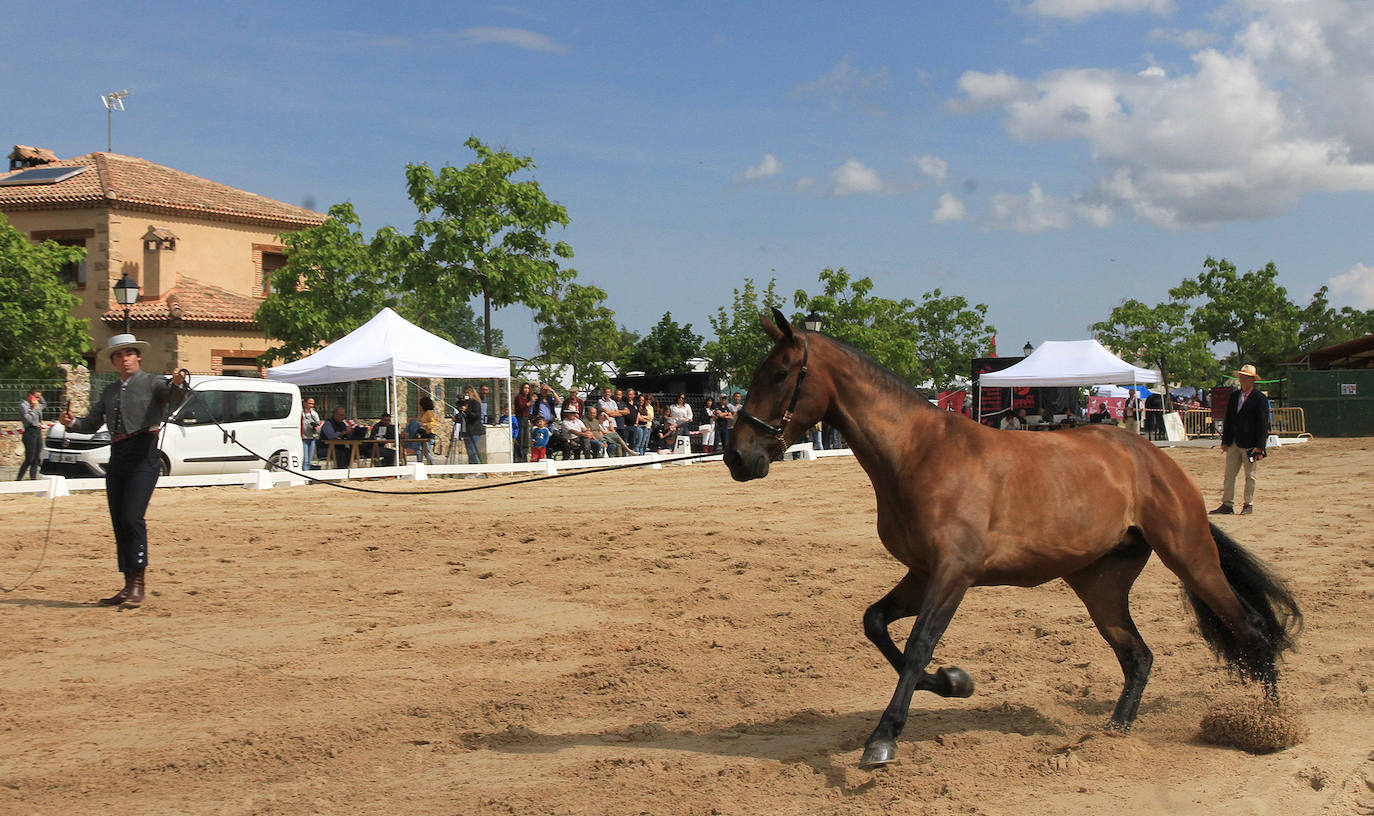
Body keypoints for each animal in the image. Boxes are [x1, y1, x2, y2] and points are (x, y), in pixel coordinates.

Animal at [725, 307, 1302, 763]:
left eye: (780, 373)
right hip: (1099, 583)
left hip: (1189, 556)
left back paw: (1271, 726)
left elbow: (917, 646)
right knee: (1138, 655)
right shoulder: (921, 572)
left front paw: (884, 737)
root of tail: (1151, 457)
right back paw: (1114, 732)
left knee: (1251, 628)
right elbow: (877, 625)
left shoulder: (953, 574)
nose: (737, 457)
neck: (918, 454)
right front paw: (954, 683)